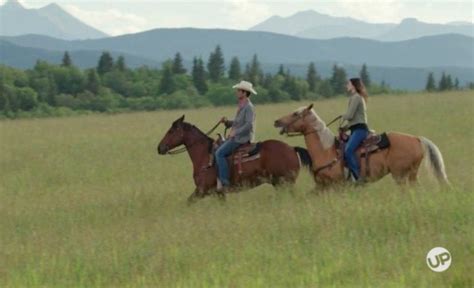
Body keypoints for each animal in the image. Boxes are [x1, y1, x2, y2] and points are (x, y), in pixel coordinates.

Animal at [157, 115, 312, 202]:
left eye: (171, 131)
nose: (160, 147)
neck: (205, 157)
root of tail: (292, 148)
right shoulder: (218, 194)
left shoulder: (201, 190)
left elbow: (188, 203)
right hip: (279, 184)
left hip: (285, 183)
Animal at [272, 103, 450, 187]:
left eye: (295, 114)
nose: (276, 121)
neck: (326, 151)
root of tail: (417, 139)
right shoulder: (322, 187)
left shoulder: (336, 186)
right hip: (411, 174)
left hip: (400, 175)